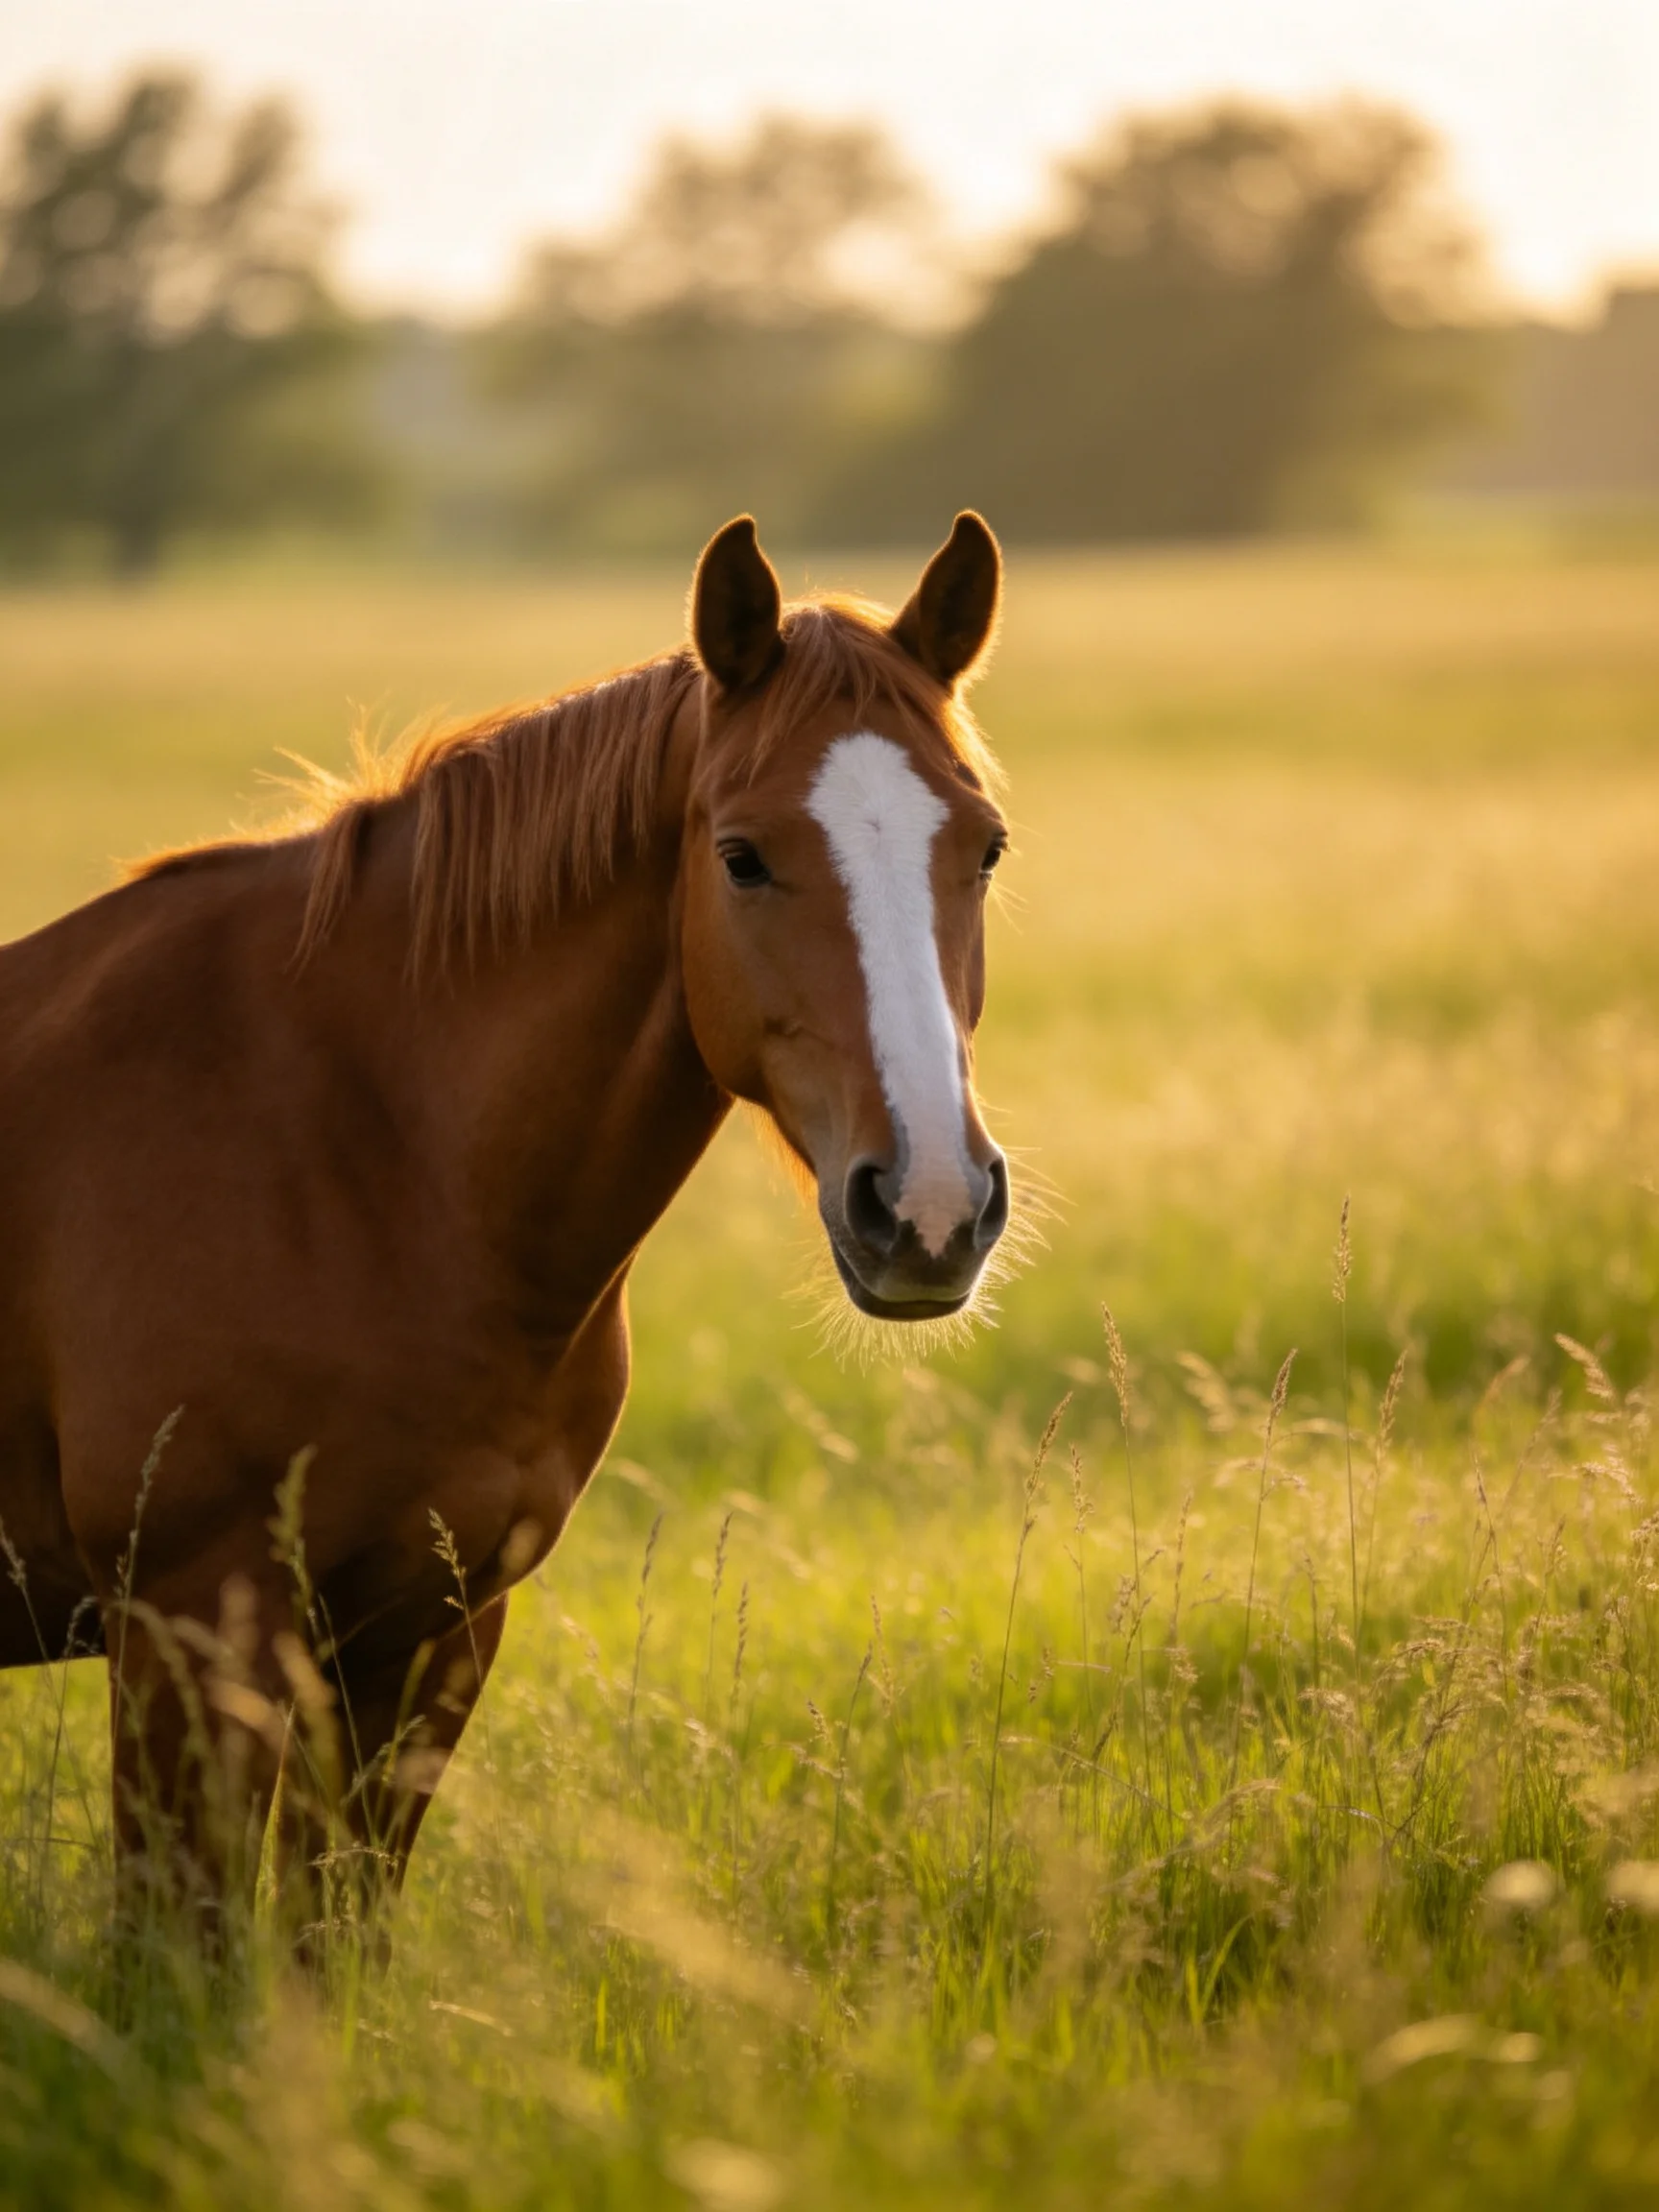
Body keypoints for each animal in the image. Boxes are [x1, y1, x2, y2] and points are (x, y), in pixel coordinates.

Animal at [0, 511, 1012, 1940]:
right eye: (742, 856)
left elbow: (328, 1940)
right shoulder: (188, 1628)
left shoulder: (427, 1634)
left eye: (984, 846)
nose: (927, 1209)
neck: (369, 1162)